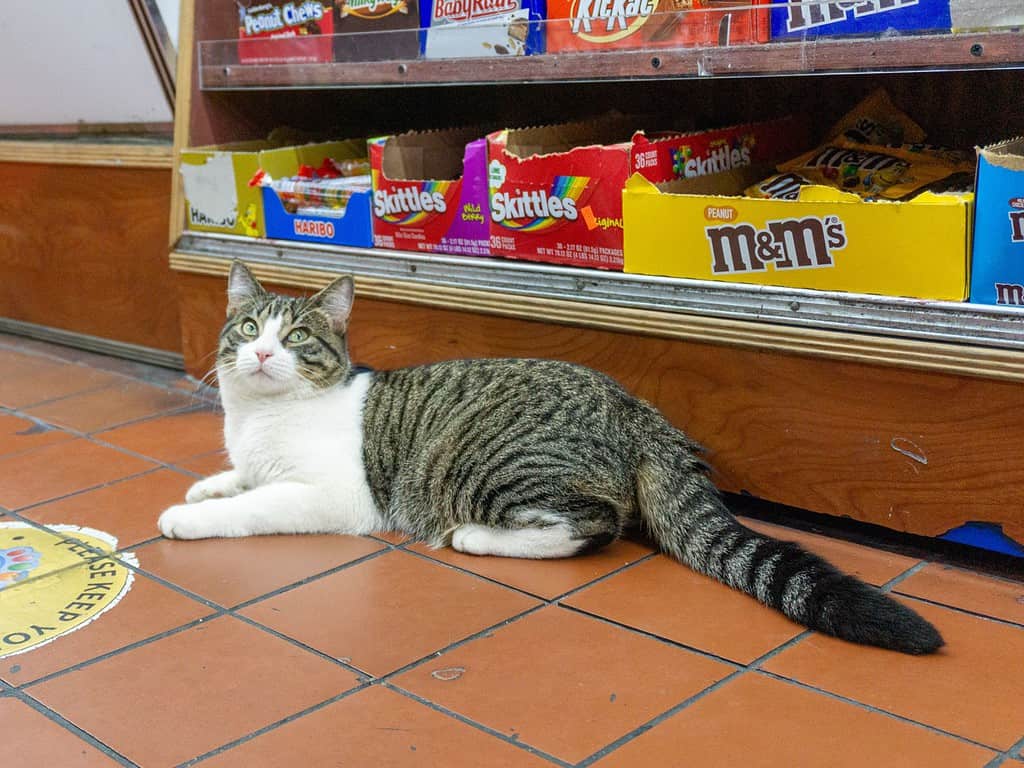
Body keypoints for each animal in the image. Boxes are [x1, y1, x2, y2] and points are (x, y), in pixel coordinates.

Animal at [157, 264, 942, 655]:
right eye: (248, 328)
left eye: (296, 339)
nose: (262, 354)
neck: (259, 419)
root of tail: (633, 406)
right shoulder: (253, 455)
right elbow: (239, 477)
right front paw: (207, 485)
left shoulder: (332, 495)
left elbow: (255, 504)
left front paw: (189, 519)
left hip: (492, 463)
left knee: (591, 526)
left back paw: (476, 537)